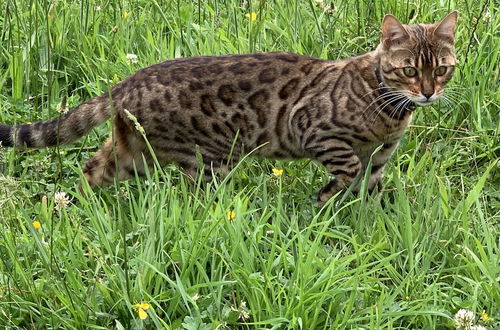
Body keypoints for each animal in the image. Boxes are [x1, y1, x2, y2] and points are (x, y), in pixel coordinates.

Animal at [0, 12, 458, 204]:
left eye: (441, 69)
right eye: (409, 70)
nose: (428, 93)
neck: (391, 114)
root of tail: (129, 80)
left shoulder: (380, 158)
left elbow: (372, 189)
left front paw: (372, 224)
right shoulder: (315, 129)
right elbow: (347, 171)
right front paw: (324, 198)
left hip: (135, 153)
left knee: (92, 169)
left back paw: (77, 209)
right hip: (206, 161)